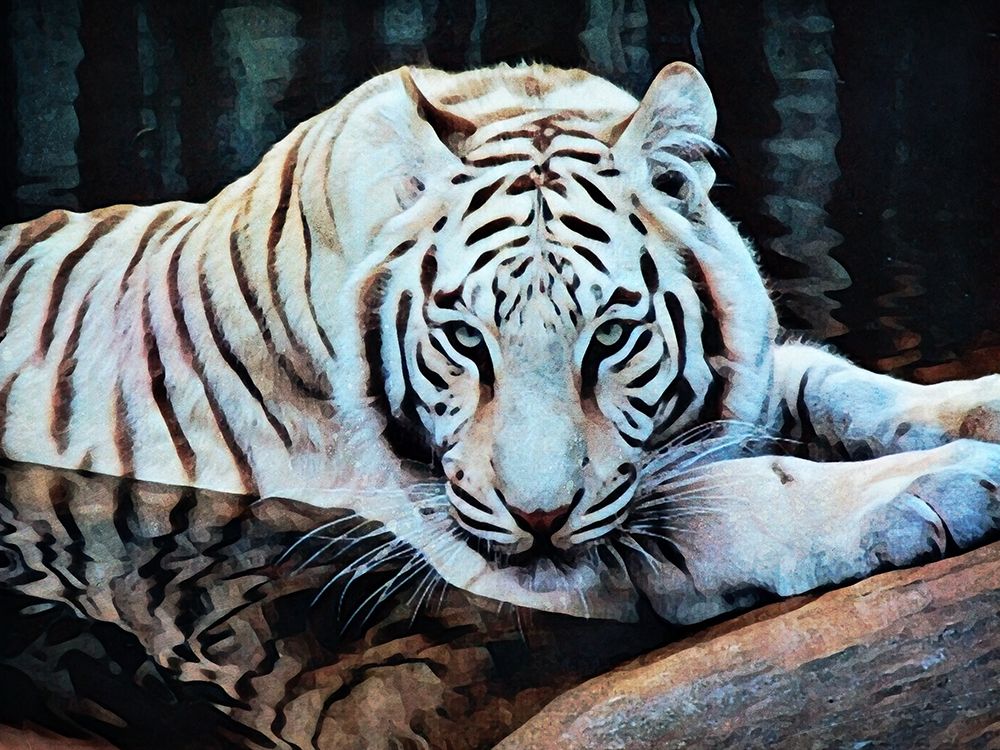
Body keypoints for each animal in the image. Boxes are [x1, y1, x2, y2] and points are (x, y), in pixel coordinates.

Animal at [1, 61, 999, 626]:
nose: (540, 518)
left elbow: (845, 386)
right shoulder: (458, 528)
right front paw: (942, 487)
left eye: (611, 335)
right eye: (464, 340)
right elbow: (740, 497)